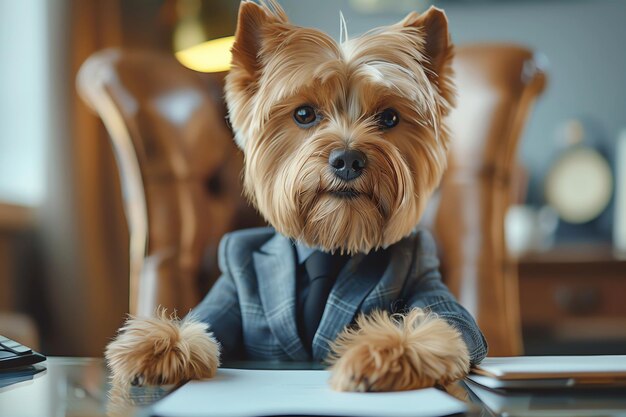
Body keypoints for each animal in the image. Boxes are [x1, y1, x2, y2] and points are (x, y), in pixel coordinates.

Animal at [105, 0, 486, 392]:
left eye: (390, 118)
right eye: (304, 114)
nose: (348, 159)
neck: (330, 243)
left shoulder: (427, 274)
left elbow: (445, 324)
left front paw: (382, 353)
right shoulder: (229, 288)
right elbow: (204, 322)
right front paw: (159, 346)